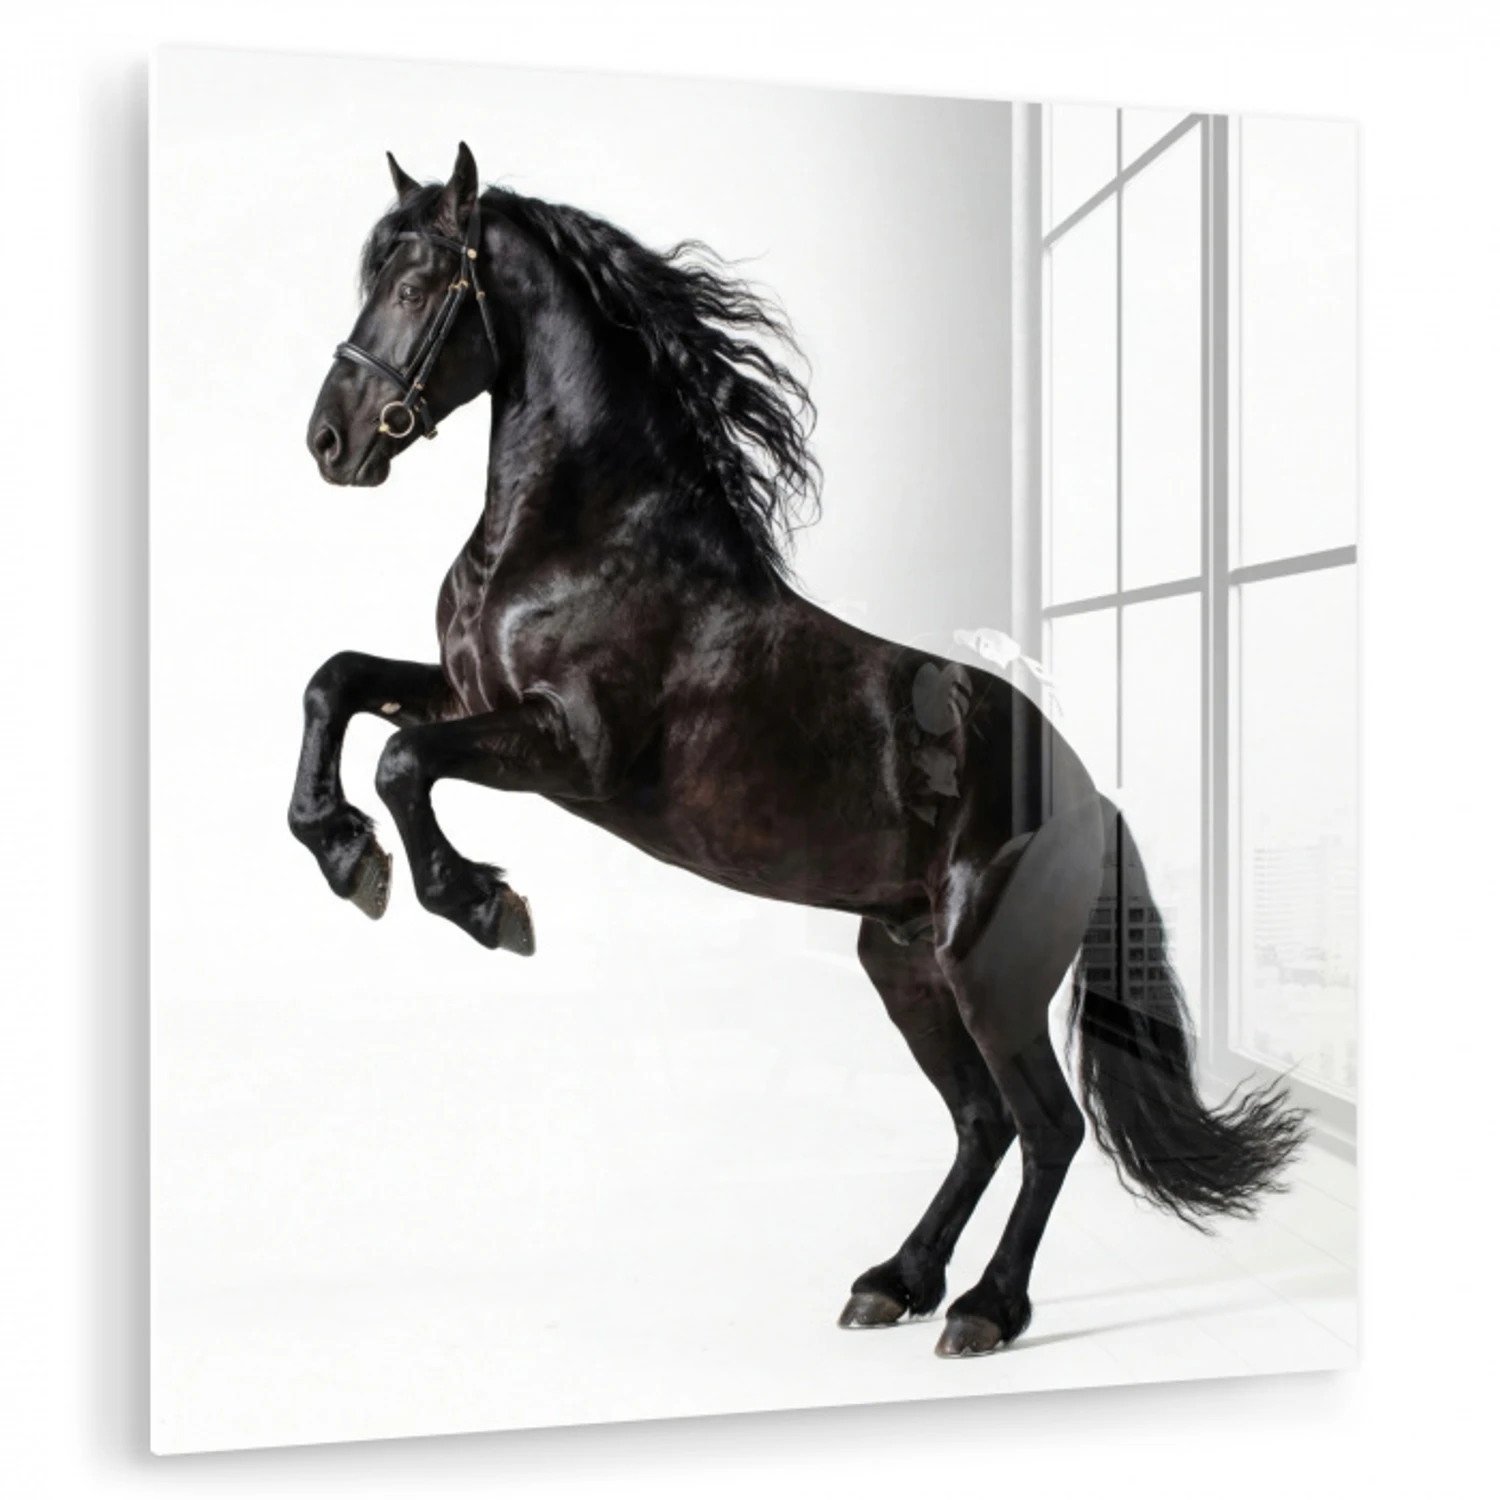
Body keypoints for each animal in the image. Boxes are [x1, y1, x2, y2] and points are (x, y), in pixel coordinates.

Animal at [291, 143, 1309, 1358]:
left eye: (414, 284)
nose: (331, 442)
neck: (580, 537)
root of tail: (1092, 802)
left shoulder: (569, 749)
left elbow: (404, 762)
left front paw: (485, 905)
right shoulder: (463, 692)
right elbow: (336, 683)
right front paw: (345, 854)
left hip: (990, 970)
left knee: (1047, 1127)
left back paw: (984, 1310)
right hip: (904, 961)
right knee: (981, 1123)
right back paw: (893, 1283)